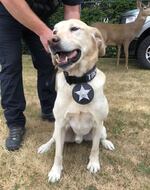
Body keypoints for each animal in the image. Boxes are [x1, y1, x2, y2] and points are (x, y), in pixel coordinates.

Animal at [37, 18, 115, 183]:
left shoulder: (98, 123)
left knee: (101, 139)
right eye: (54, 31)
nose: (51, 40)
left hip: (102, 128)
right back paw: (45, 146)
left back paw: (107, 143)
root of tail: (79, 138)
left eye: (74, 28)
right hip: (58, 131)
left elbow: (95, 148)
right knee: (53, 140)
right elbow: (58, 154)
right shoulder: (60, 124)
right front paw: (55, 171)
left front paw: (94, 164)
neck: (78, 81)